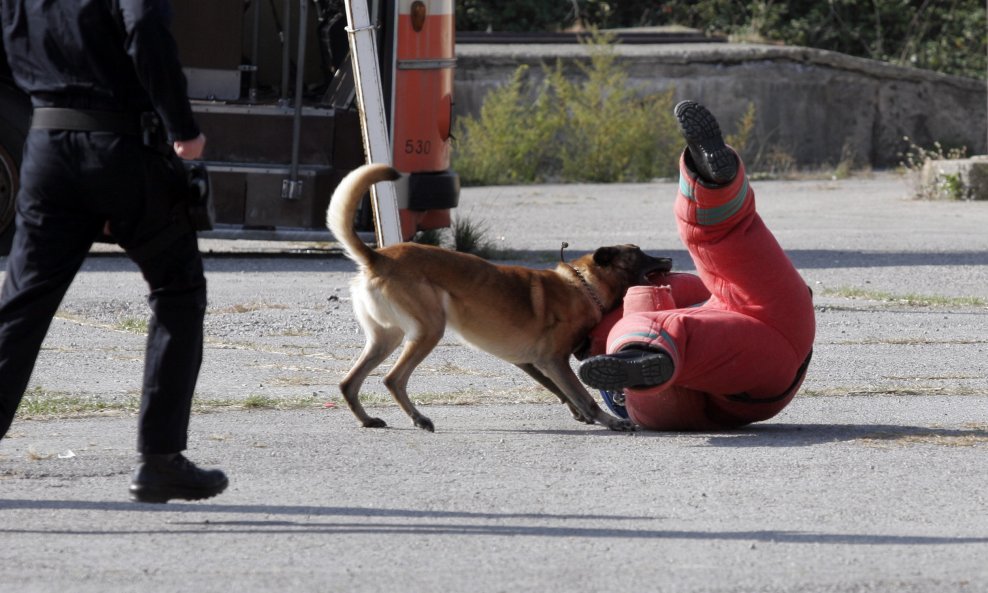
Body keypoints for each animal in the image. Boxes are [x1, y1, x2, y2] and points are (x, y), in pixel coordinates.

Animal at [326, 162, 672, 430]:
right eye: (639, 253)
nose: (669, 259)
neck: (584, 285)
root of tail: (377, 258)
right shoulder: (554, 359)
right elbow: (582, 394)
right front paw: (609, 420)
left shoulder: (531, 362)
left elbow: (561, 390)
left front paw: (581, 413)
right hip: (428, 331)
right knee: (392, 379)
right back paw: (419, 419)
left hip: (386, 338)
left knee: (348, 383)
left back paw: (367, 419)